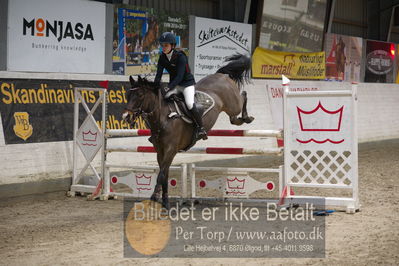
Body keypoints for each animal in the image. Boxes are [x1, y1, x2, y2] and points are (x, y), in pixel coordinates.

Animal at [122, 54, 255, 209]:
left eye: (140, 95)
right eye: (128, 95)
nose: (126, 116)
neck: (163, 118)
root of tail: (220, 75)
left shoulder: (171, 149)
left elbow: (161, 174)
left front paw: (154, 197)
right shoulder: (160, 151)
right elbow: (164, 174)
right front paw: (165, 201)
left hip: (234, 103)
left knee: (243, 95)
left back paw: (247, 117)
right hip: (230, 109)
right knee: (234, 119)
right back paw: (242, 119)